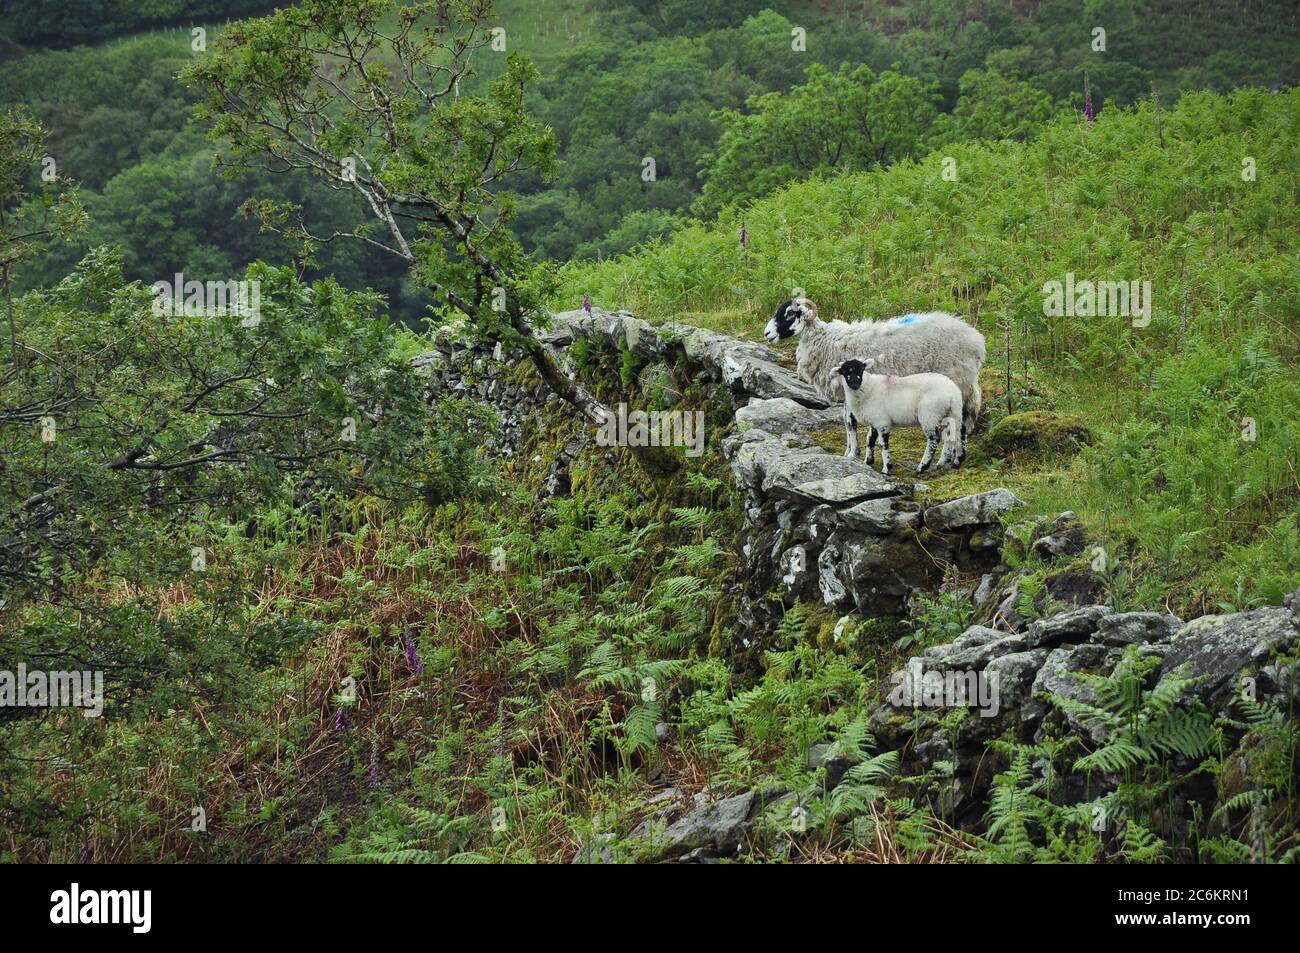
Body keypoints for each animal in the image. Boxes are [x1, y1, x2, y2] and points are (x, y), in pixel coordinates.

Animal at [759, 297, 982, 460]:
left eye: (790, 313)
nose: (767, 334)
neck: (824, 340)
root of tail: (976, 339)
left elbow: (850, 423)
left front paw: (852, 454)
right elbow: (847, 421)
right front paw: (850, 452)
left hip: (955, 380)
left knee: (954, 422)